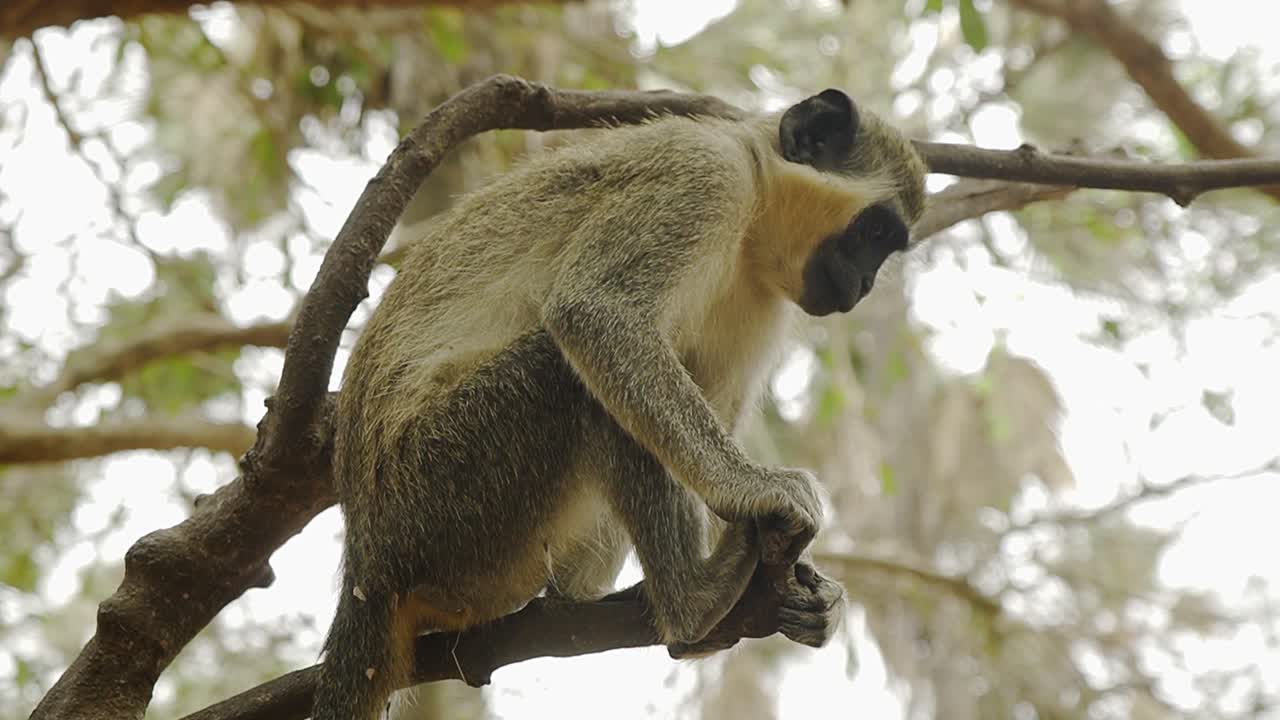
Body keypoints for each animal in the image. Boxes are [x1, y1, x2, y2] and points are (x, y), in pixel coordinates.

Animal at [312, 87, 927, 720]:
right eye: (874, 235)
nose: (864, 287)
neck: (755, 200)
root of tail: (366, 563)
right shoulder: (701, 175)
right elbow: (597, 311)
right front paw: (756, 489)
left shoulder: (765, 298)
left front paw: (810, 596)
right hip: (436, 494)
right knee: (569, 370)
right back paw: (692, 601)